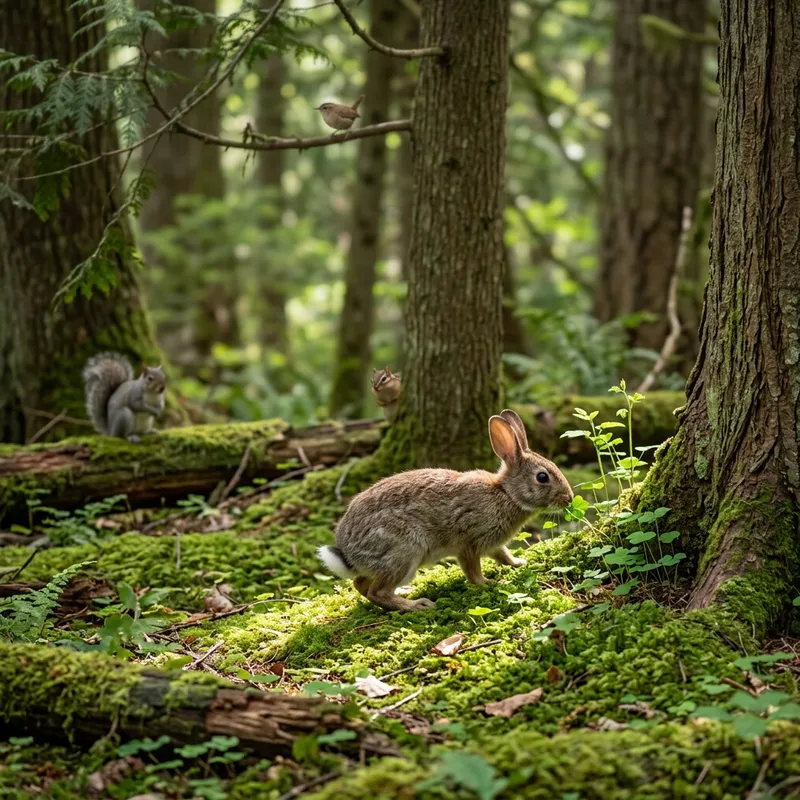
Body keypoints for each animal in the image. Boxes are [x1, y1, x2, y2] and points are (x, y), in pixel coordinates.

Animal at [318, 409, 574, 612]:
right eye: (542, 477)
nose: (569, 498)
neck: (506, 493)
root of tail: (348, 553)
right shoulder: (469, 542)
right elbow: (472, 569)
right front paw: (486, 583)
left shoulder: (492, 543)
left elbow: (503, 555)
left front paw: (519, 563)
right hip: (404, 550)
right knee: (376, 591)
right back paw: (417, 605)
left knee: (360, 584)